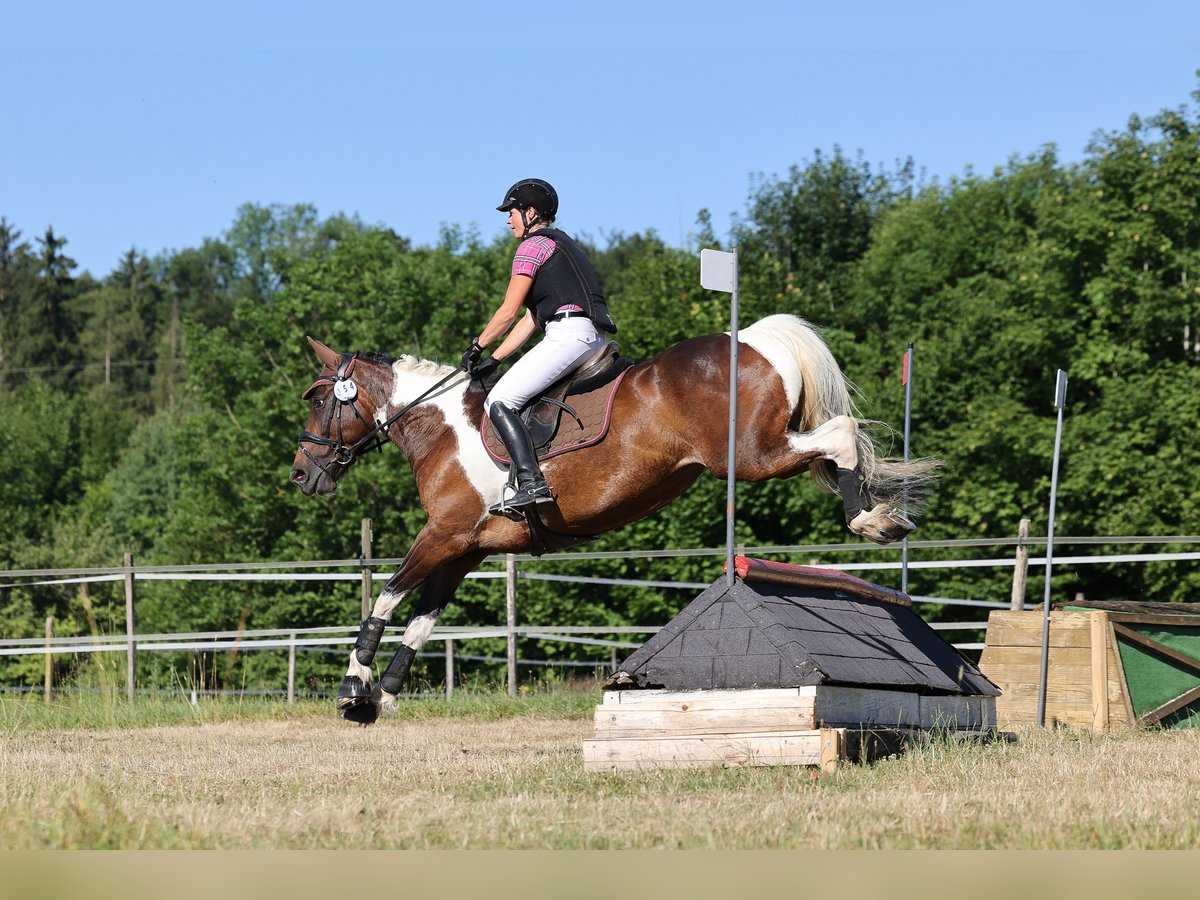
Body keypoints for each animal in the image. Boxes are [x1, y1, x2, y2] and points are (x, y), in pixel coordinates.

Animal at [289, 314, 939, 724]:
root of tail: (752, 339)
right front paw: (383, 698)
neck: (440, 427)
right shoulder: (466, 549)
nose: (300, 476)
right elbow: (422, 622)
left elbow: (387, 597)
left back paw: (868, 519)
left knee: (842, 433)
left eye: (318, 399)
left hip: (751, 456)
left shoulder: (443, 534)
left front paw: (353, 688)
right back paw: (881, 518)